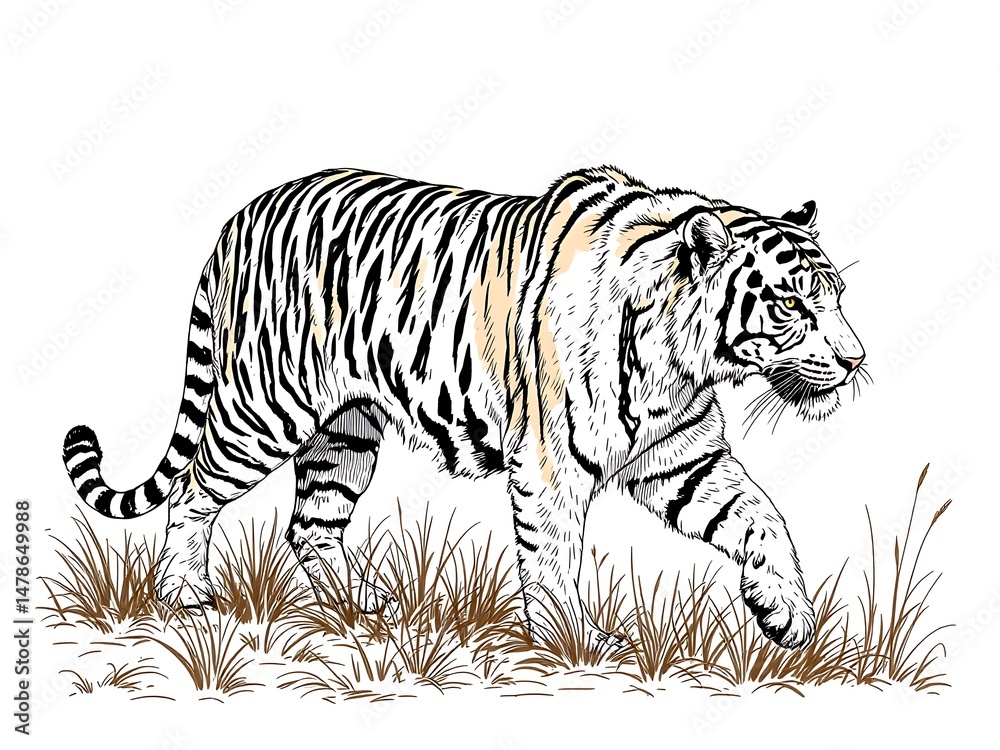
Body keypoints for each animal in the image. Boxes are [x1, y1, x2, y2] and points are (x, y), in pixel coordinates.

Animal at [62, 165, 865, 650]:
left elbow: (762, 518)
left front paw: (788, 617)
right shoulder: (549, 468)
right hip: (261, 411)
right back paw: (186, 597)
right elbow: (554, 559)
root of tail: (242, 217)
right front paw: (574, 646)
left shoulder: (683, 461)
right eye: (792, 305)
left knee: (309, 527)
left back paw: (360, 608)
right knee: (191, 493)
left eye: (837, 297)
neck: (683, 366)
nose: (857, 361)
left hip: (344, 438)